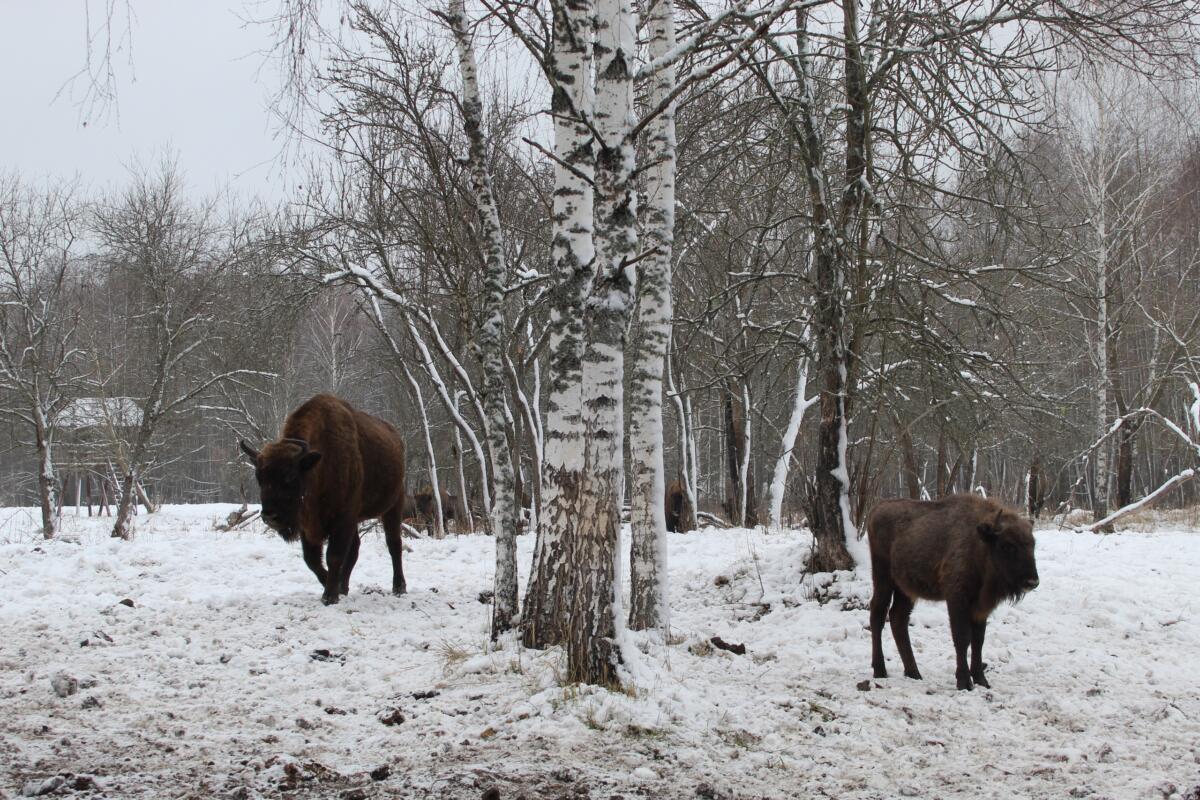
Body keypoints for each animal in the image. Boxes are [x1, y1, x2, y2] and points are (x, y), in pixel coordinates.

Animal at [238, 393, 408, 606]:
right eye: (259, 477)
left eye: (290, 476)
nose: (270, 516)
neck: (317, 465)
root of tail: (397, 439)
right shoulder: (309, 525)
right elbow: (312, 559)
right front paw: (332, 585)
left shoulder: (343, 517)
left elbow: (333, 555)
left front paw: (329, 595)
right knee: (355, 549)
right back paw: (344, 586)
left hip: (393, 505)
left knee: (394, 544)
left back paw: (399, 587)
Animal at [864, 494, 1041, 690]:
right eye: (1007, 545)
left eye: (1032, 544)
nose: (1032, 582)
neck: (978, 545)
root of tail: (877, 509)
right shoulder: (957, 599)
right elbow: (962, 638)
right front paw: (964, 682)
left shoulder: (980, 608)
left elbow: (978, 640)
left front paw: (981, 680)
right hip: (883, 579)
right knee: (878, 615)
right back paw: (880, 670)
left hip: (906, 590)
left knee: (898, 619)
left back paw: (914, 673)